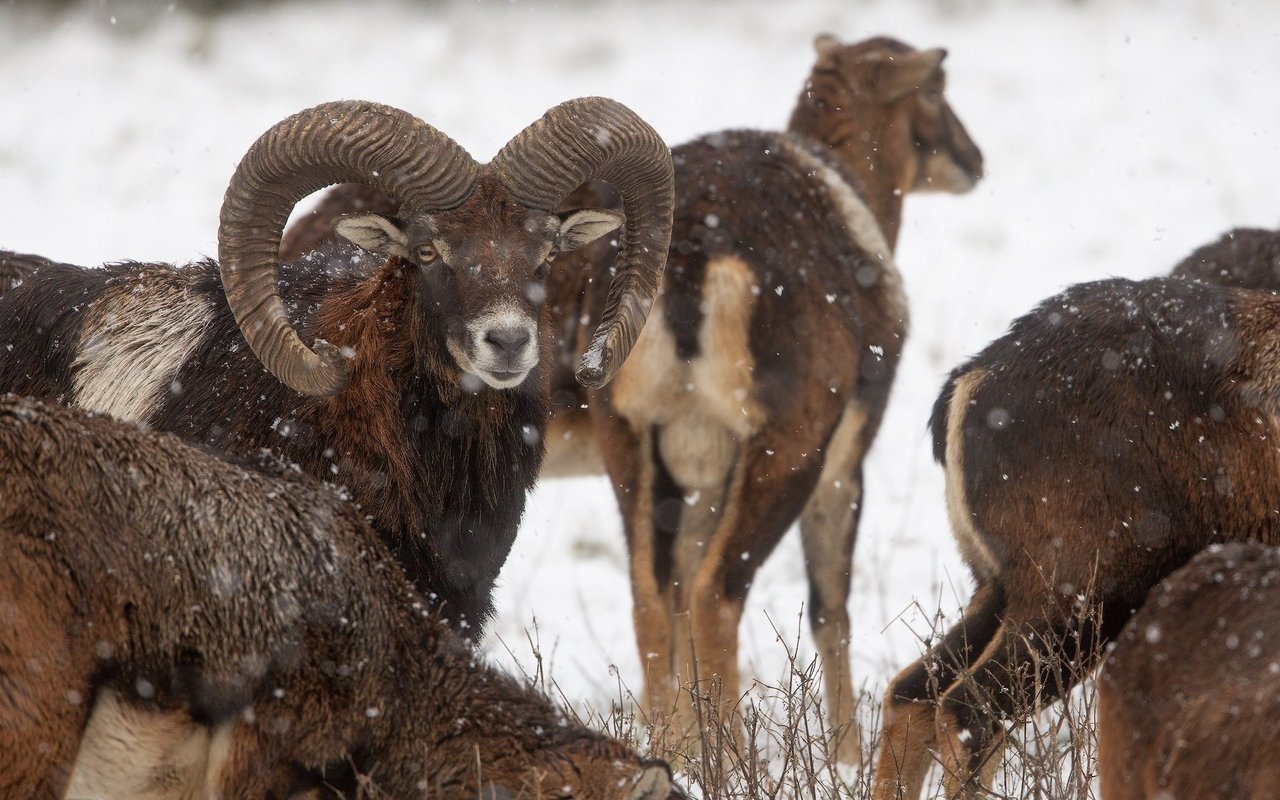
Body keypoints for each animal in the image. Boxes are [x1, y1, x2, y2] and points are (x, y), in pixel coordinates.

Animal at [275, 37, 983, 762]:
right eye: (935, 87)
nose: (973, 161)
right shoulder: (841, 463)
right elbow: (829, 610)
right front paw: (843, 759)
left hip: (635, 449)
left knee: (653, 597)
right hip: (782, 452)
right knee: (714, 595)